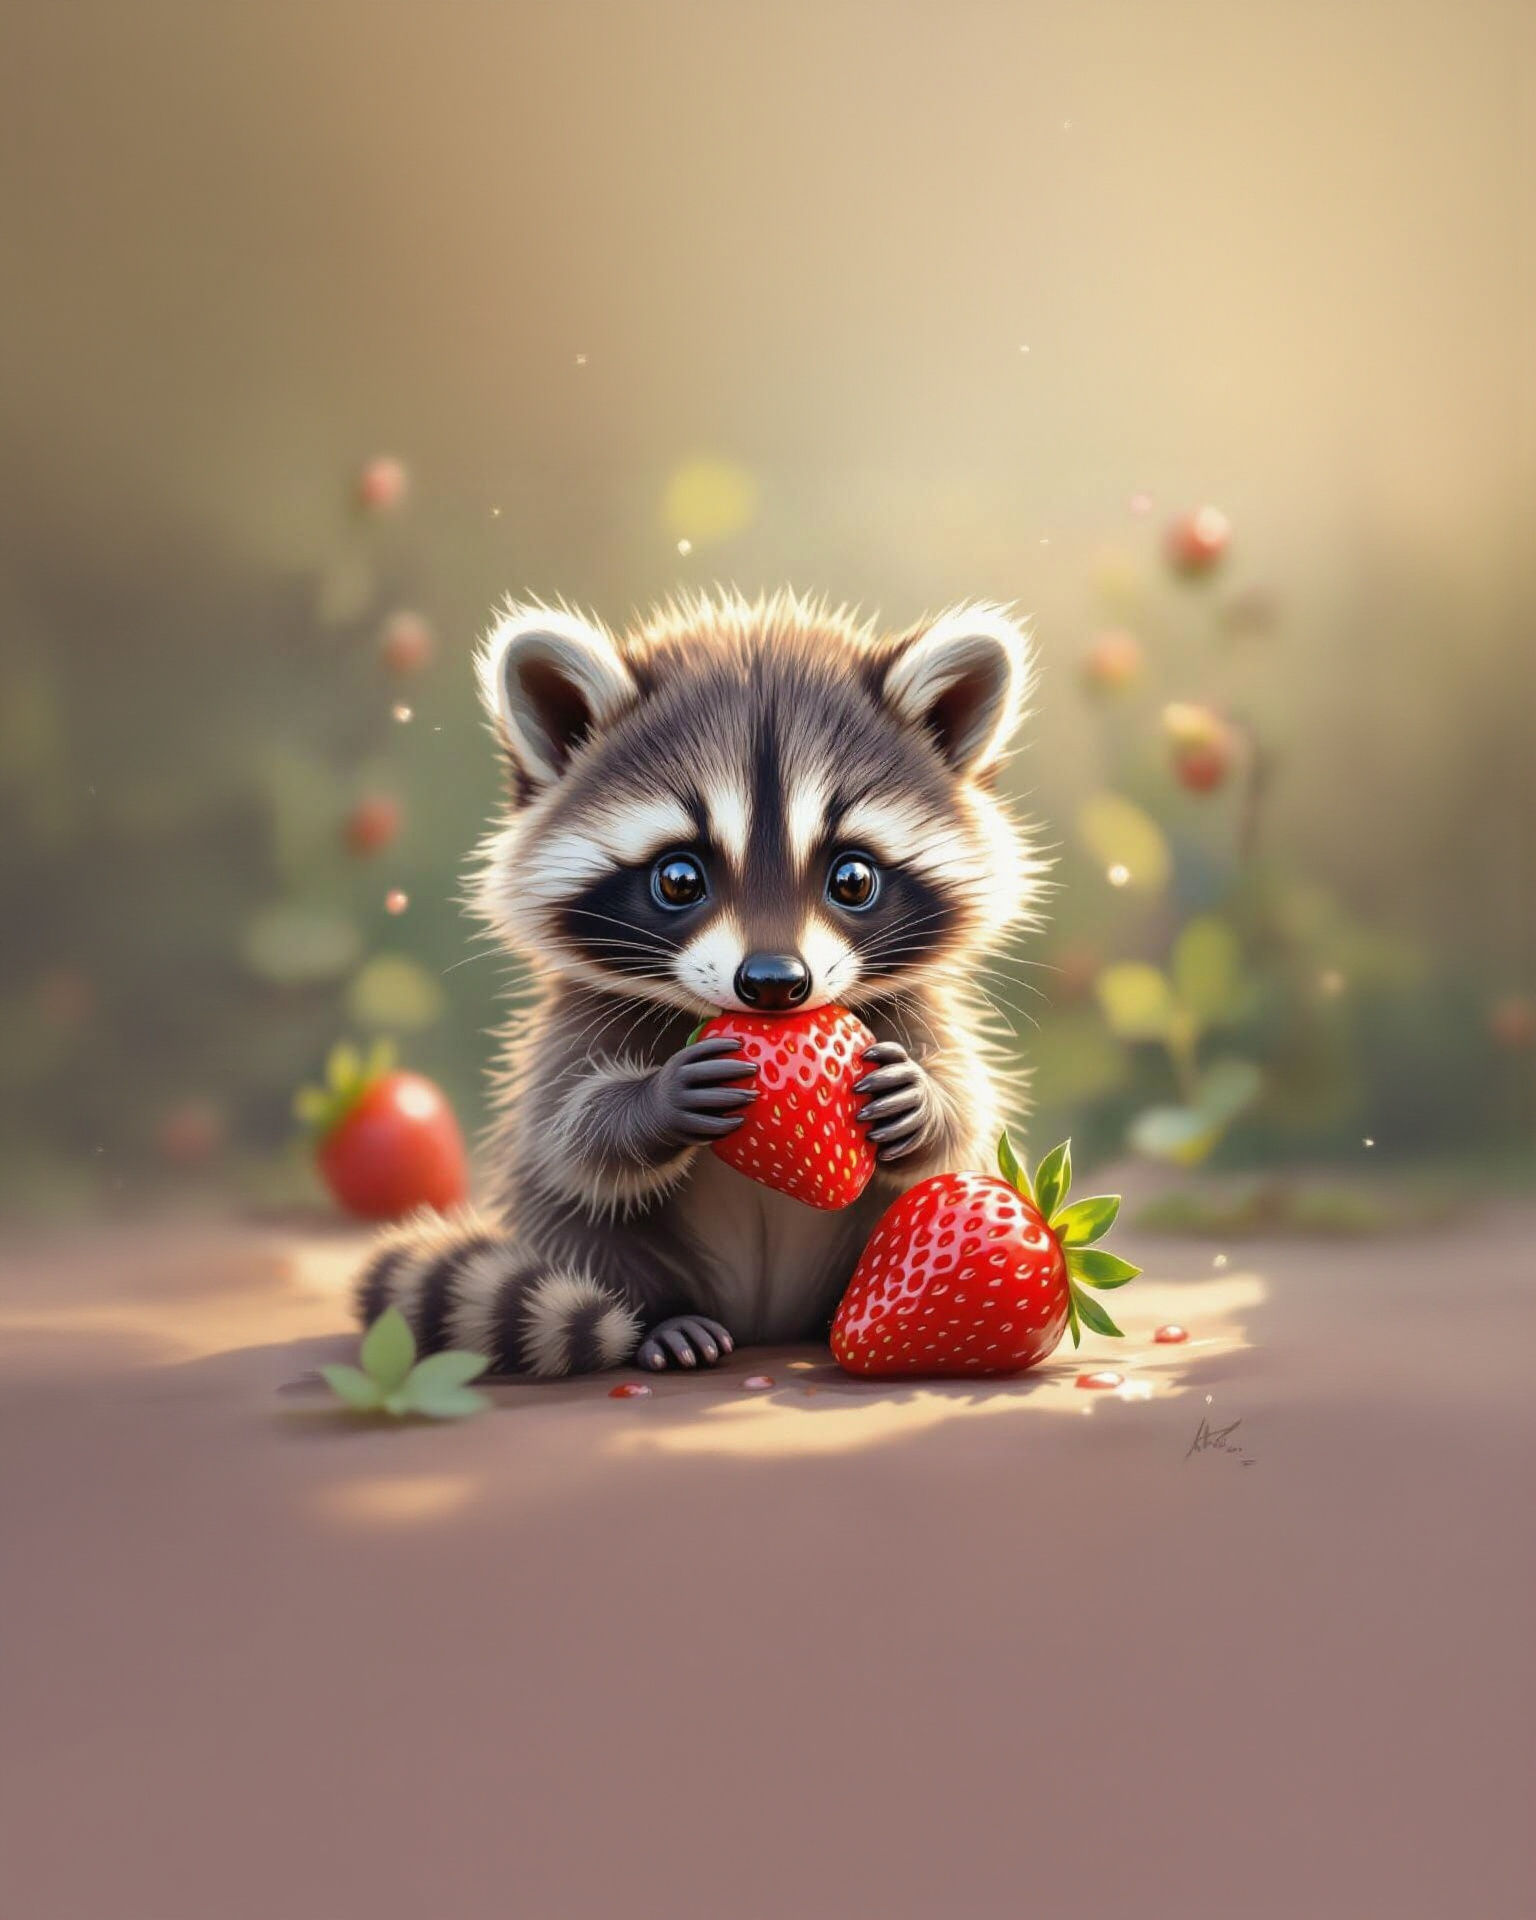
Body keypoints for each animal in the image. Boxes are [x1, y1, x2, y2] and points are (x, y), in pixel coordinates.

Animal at [356, 588, 1044, 1375]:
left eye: (853, 878)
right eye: (679, 879)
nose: (774, 982)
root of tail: (765, 1321)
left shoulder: (914, 1008)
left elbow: (970, 1109)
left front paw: (924, 1099)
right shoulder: (578, 1020)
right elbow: (567, 1134)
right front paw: (654, 1101)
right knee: (575, 1215)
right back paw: (663, 1317)